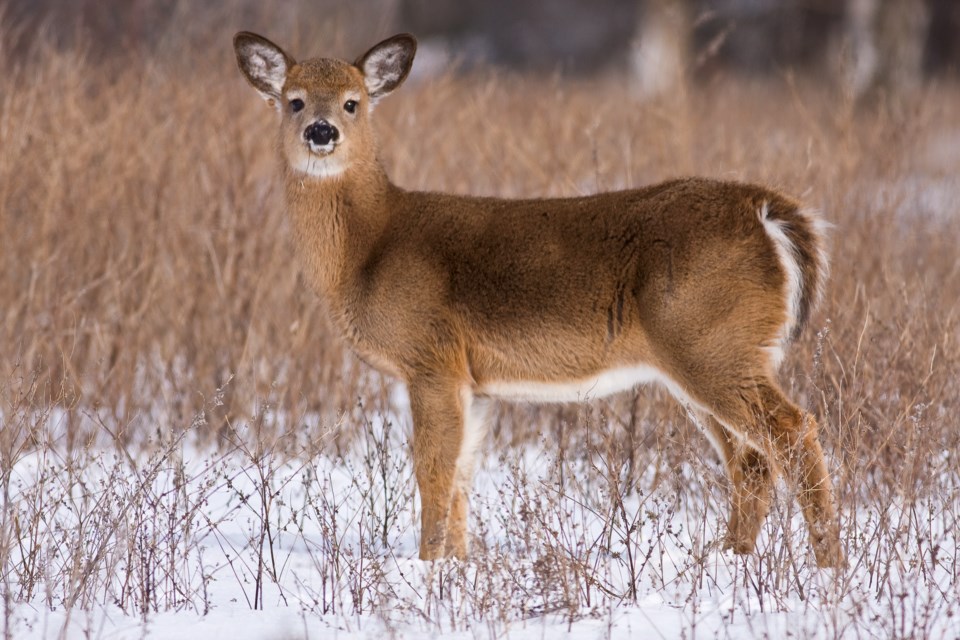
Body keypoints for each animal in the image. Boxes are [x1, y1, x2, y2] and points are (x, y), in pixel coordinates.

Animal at [236, 32, 844, 568]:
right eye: (293, 100)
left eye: (352, 102)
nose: (321, 131)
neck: (368, 249)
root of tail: (768, 211)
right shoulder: (474, 380)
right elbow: (463, 474)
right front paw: (456, 566)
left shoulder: (430, 356)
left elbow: (432, 469)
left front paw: (425, 566)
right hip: (705, 354)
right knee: (752, 461)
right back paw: (730, 560)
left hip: (711, 342)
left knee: (792, 432)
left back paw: (827, 565)